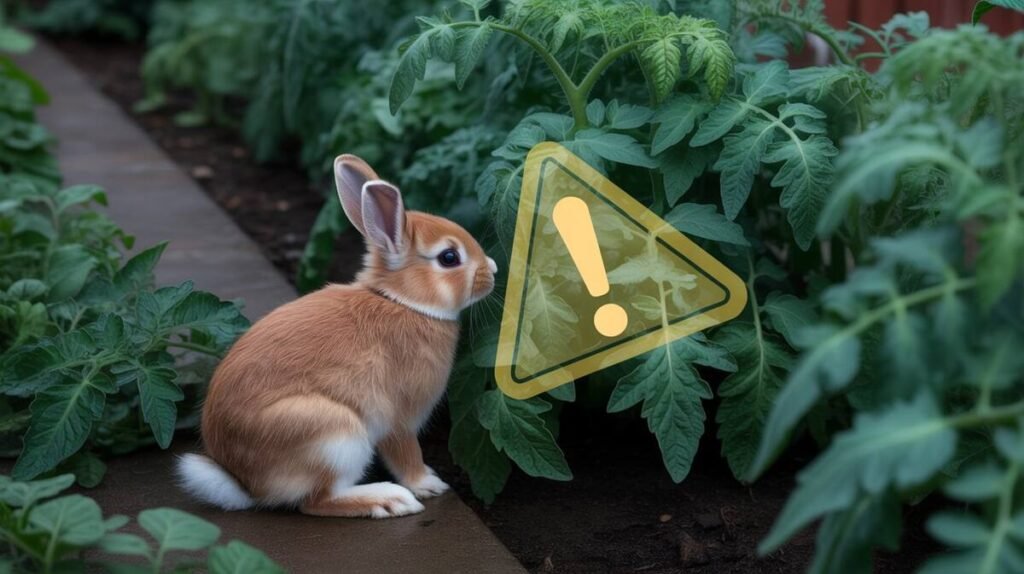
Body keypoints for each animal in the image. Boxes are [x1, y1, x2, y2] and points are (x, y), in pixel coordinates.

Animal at [176, 154, 498, 518]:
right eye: (449, 257)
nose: (494, 270)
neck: (404, 302)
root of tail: (246, 485)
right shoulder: (399, 419)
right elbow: (406, 453)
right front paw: (429, 484)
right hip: (336, 437)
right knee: (316, 501)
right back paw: (390, 500)